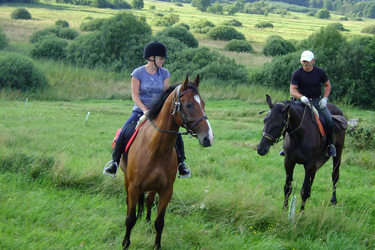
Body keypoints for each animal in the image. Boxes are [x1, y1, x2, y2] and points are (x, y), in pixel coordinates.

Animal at [120, 75, 214, 249]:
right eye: (189, 104)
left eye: (203, 103)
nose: (208, 138)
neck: (155, 149)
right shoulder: (134, 187)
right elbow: (130, 219)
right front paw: (125, 243)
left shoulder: (166, 190)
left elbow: (159, 222)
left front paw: (157, 244)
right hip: (126, 180)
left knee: (149, 200)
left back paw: (147, 221)